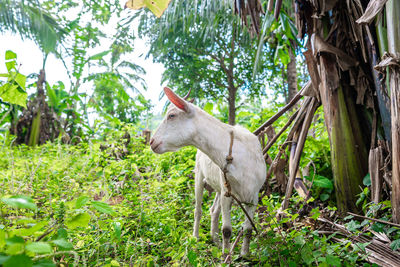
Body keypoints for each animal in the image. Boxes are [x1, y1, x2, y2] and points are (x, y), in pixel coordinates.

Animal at [150, 87, 266, 255]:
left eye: (171, 115)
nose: (152, 142)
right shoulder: (227, 192)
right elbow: (227, 230)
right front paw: (226, 255)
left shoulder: (254, 195)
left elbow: (248, 229)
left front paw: (244, 255)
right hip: (199, 175)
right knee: (198, 210)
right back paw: (196, 238)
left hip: (218, 186)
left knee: (213, 210)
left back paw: (215, 241)